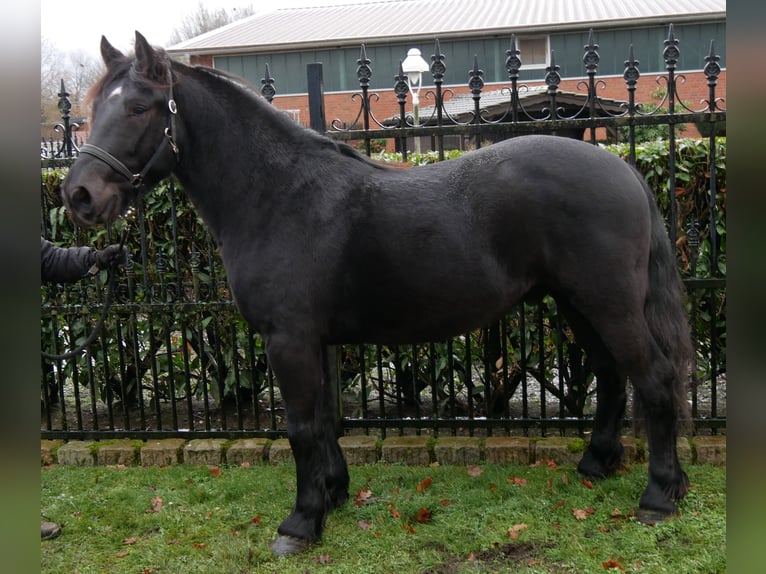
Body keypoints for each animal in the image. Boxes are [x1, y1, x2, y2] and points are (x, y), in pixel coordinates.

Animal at [61, 32, 693, 555]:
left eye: (138, 107)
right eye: (93, 110)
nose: (80, 197)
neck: (279, 195)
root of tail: (624, 169)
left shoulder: (288, 339)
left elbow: (302, 427)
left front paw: (300, 524)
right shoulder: (314, 341)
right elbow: (323, 421)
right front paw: (333, 495)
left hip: (608, 304)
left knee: (654, 378)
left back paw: (659, 495)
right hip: (577, 304)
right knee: (612, 376)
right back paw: (598, 464)